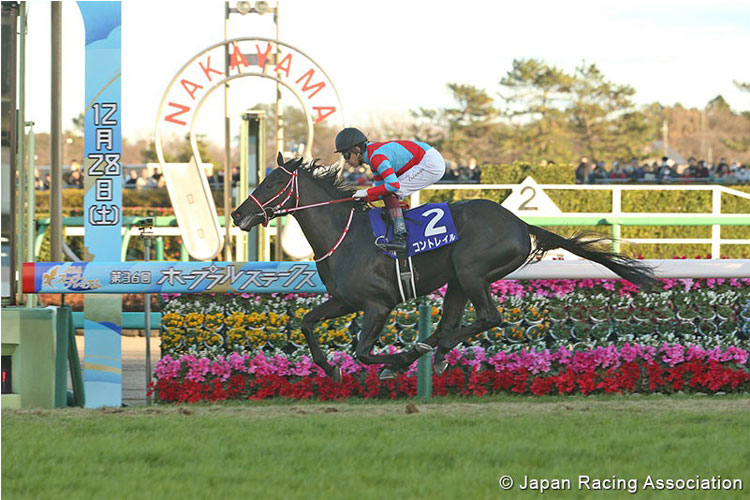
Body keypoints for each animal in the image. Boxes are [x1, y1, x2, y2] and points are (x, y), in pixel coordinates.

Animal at [231, 154, 656, 380]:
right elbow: (305, 322)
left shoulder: (378, 304)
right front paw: (329, 368)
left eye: (271, 185)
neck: (344, 235)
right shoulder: (345, 300)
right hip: (457, 281)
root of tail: (521, 224)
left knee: (488, 317)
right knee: (449, 326)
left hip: (472, 272)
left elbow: (364, 352)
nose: (237, 214)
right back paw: (427, 351)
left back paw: (418, 355)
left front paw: (388, 363)